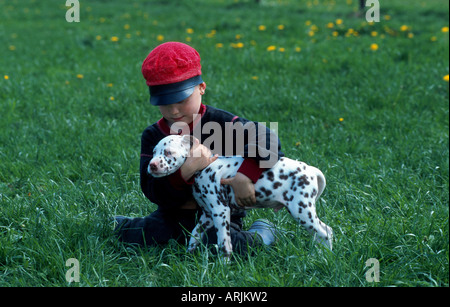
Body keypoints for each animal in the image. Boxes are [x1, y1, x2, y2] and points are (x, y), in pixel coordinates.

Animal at [149, 136, 332, 258]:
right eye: (153, 152)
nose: (152, 165)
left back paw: (322, 256)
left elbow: (224, 243)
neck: (204, 166)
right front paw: (190, 255)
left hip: (301, 211)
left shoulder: (220, 211)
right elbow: (194, 234)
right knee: (324, 231)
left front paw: (223, 266)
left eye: (168, 152)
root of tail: (310, 169)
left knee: (325, 232)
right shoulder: (207, 215)